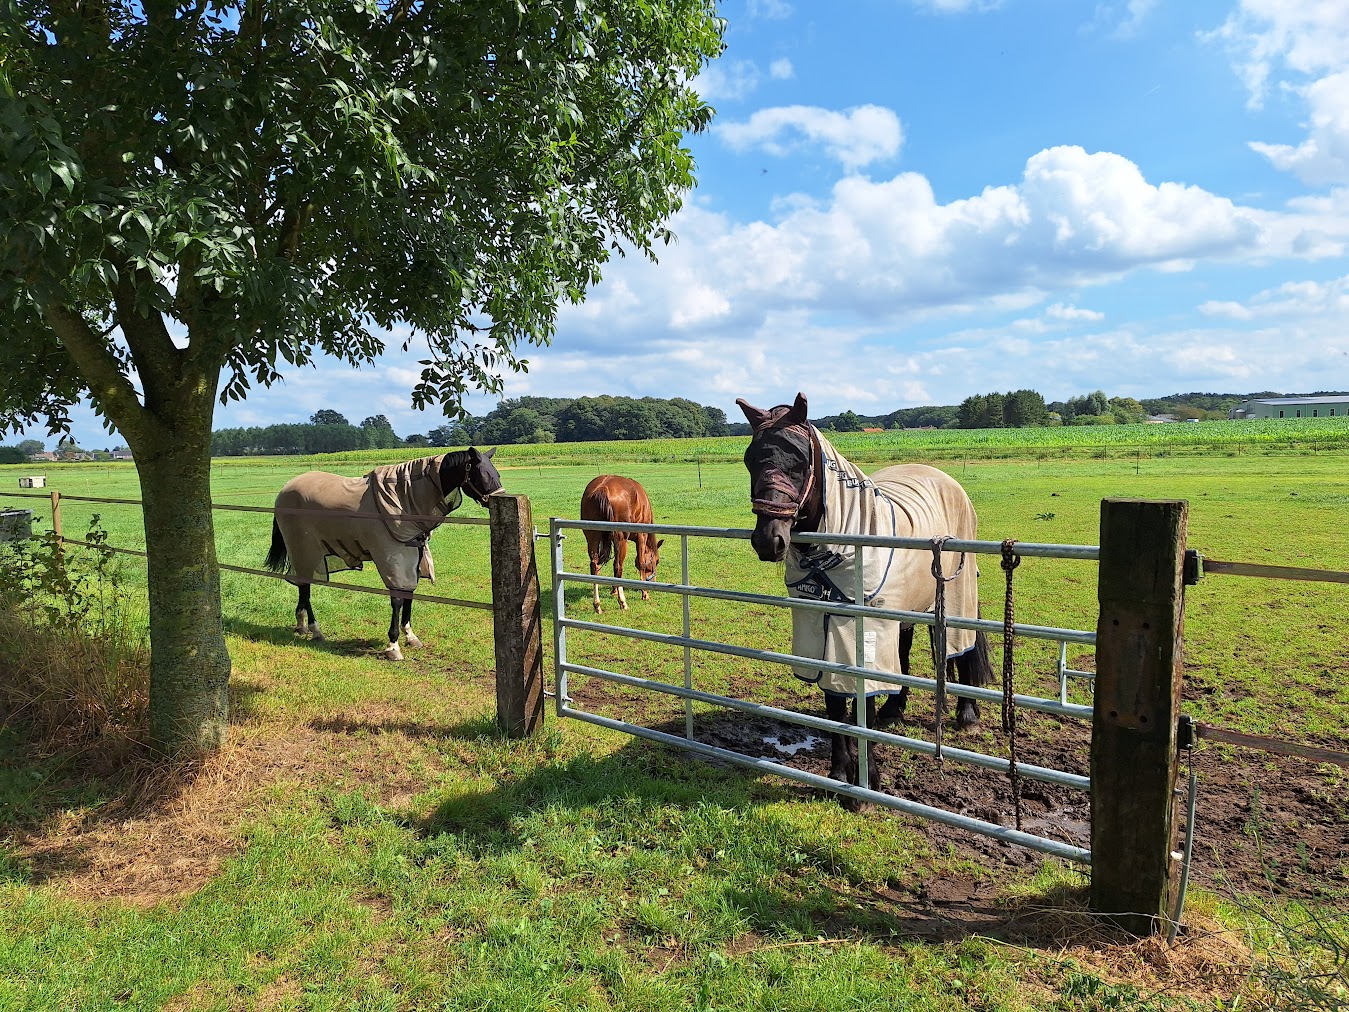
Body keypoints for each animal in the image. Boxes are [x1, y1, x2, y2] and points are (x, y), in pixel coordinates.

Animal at [264, 447, 502, 659]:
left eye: (497, 474)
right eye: (482, 474)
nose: (499, 498)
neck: (404, 498)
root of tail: (285, 490)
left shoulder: (413, 555)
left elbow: (409, 592)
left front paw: (410, 636)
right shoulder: (392, 557)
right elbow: (397, 597)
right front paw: (393, 645)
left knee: (302, 585)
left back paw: (301, 624)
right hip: (304, 549)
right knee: (305, 587)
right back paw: (315, 630)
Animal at [580, 475, 663, 614]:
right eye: (656, 561)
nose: (653, 583)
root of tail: (602, 489)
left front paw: (614, 590)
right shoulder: (642, 536)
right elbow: (641, 563)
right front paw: (644, 593)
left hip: (592, 538)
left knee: (594, 566)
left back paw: (597, 605)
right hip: (621, 540)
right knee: (618, 566)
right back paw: (623, 602)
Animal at [737, 393, 994, 809]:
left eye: (800, 460)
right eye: (750, 459)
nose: (768, 540)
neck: (842, 544)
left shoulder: (860, 631)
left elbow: (862, 704)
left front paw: (867, 781)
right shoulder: (819, 629)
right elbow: (835, 704)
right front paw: (840, 774)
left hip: (956, 597)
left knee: (960, 646)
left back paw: (967, 715)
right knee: (903, 653)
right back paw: (895, 708)